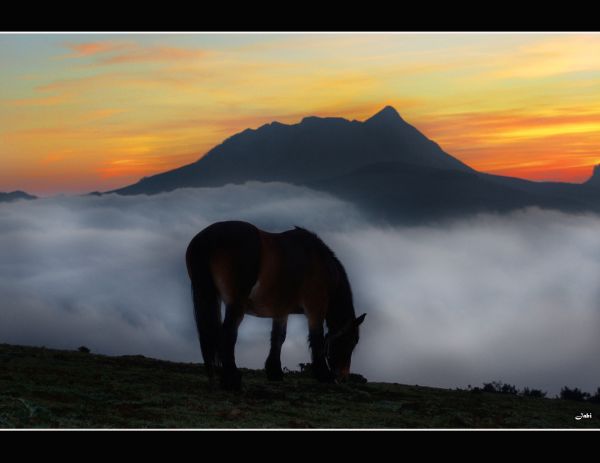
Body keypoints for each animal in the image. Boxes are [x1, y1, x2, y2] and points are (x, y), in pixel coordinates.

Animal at [185, 221, 366, 392]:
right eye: (350, 342)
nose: (342, 377)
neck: (319, 262)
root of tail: (207, 238)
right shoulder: (316, 308)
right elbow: (316, 339)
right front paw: (324, 375)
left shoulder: (281, 311)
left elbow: (278, 338)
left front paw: (275, 372)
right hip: (236, 305)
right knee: (228, 335)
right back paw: (232, 380)